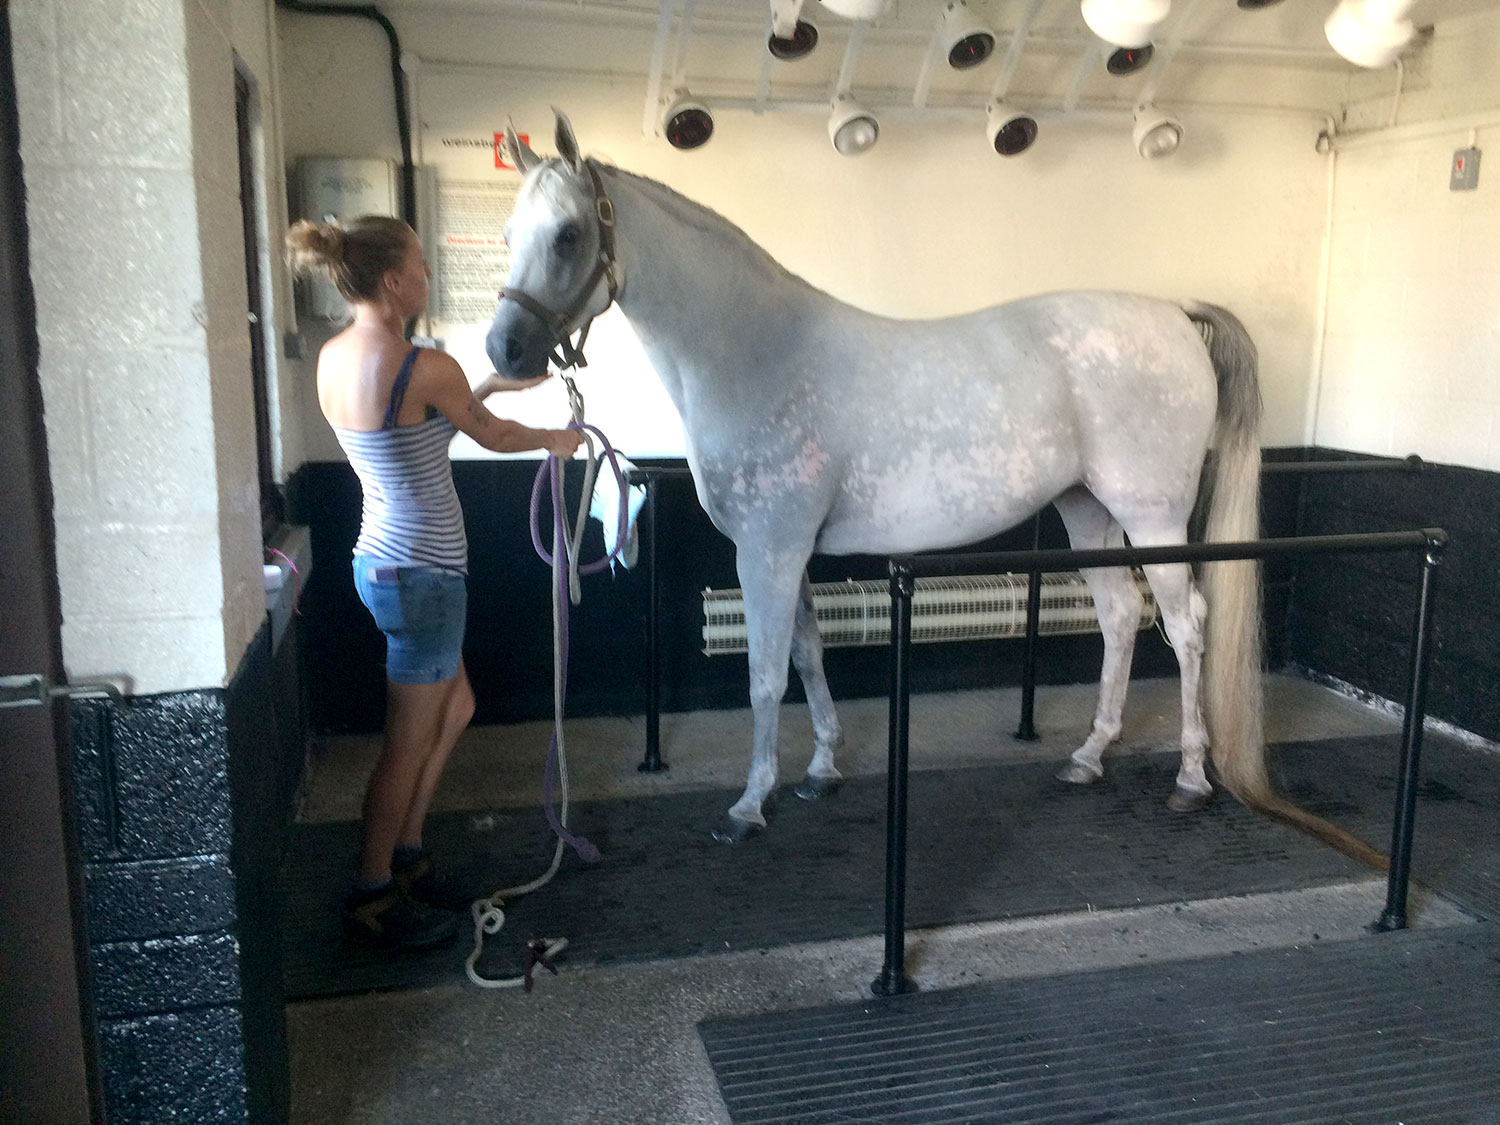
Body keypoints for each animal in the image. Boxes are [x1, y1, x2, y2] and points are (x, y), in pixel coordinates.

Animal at [495, 114, 1302, 852]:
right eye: (508, 234)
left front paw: (750, 803)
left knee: (1187, 624)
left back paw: (1191, 778)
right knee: (1118, 615)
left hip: (1153, 515)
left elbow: (763, 674)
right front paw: (821, 769)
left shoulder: (768, 550)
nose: (504, 349)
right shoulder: (790, 551)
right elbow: (807, 654)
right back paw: (1089, 755)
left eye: (568, 234)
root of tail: (1176, 315)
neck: (758, 352)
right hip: (1088, 510)